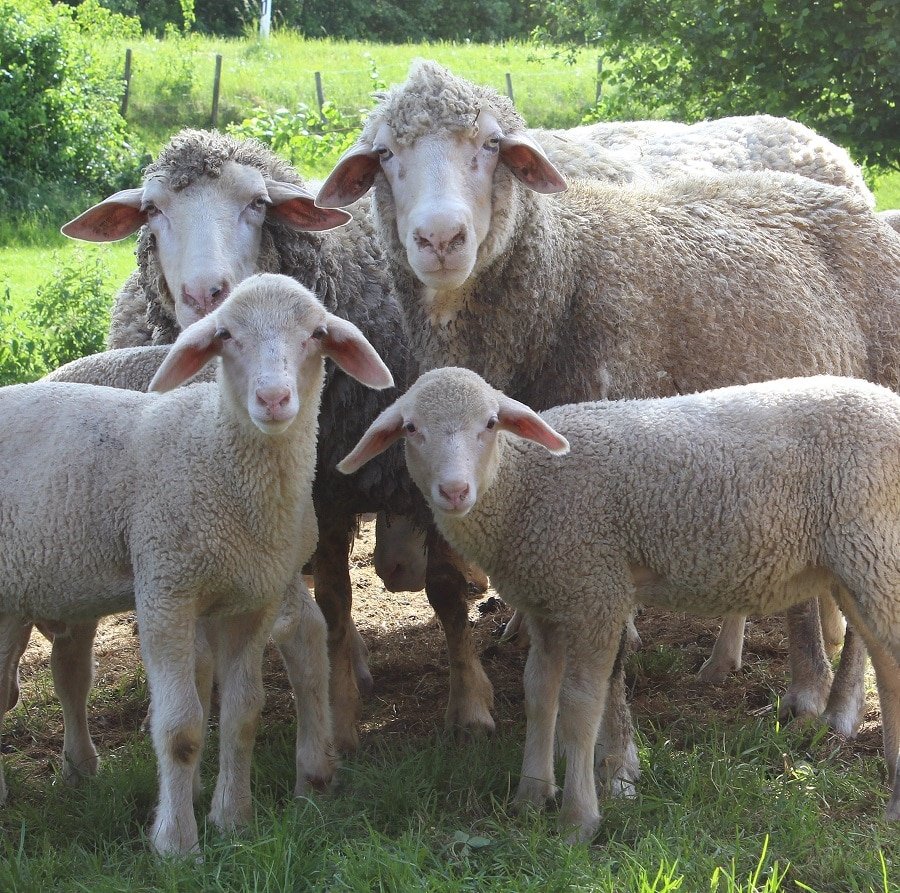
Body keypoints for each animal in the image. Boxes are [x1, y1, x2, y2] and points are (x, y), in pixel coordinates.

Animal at [0, 273, 397, 854]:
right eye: (226, 334)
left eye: (317, 334)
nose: (273, 398)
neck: (217, 453)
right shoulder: (167, 590)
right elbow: (181, 727)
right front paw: (176, 842)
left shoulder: (249, 600)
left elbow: (241, 714)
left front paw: (232, 819)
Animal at [60, 129, 496, 752]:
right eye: (152, 210)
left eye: (257, 204)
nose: (205, 293)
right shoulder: (322, 494)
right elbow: (334, 601)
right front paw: (340, 714)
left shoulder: (425, 473)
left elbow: (442, 589)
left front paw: (470, 706)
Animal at [314, 61, 900, 760]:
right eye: (382, 155)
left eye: (492, 145)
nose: (440, 238)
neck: (559, 282)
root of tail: (854, 197)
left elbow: (611, 645)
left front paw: (614, 756)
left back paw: (840, 707)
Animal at [338, 366, 900, 840]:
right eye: (411, 428)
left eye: (492, 423)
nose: (454, 491)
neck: (522, 487)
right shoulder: (546, 600)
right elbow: (538, 691)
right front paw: (530, 797)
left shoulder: (595, 592)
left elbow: (581, 703)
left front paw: (578, 819)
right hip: (856, 566)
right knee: (886, 662)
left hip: (870, 549)